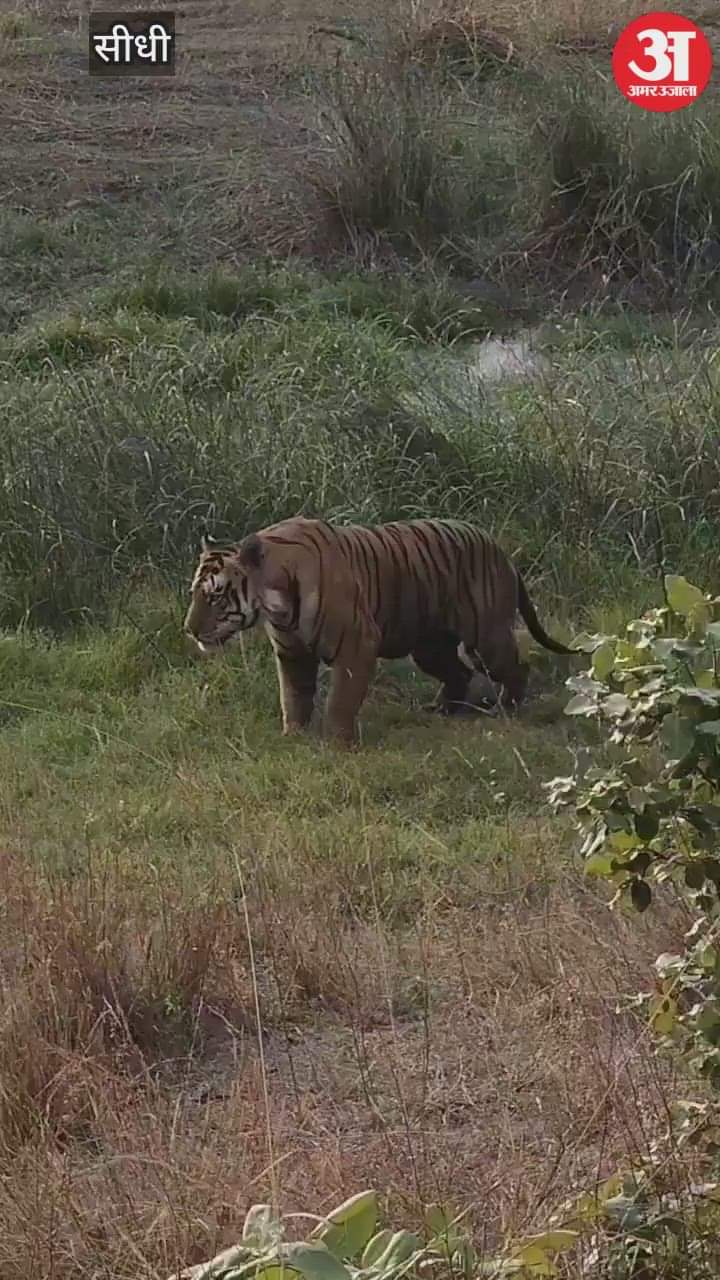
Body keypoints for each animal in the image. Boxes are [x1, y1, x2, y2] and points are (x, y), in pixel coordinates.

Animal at [183, 516, 575, 746]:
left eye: (216, 595)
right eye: (194, 593)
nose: (188, 631)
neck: (275, 605)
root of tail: (500, 550)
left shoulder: (356, 644)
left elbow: (340, 699)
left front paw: (337, 743)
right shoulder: (292, 652)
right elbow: (293, 696)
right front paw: (293, 736)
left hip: (485, 640)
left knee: (516, 666)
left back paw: (508, 706)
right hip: (429, 647)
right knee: (459, 673)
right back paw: (443, 709)